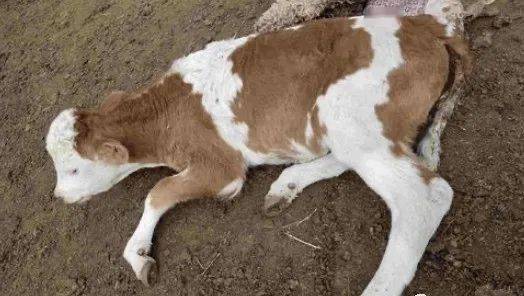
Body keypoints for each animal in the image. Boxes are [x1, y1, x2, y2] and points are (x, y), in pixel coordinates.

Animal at [45, 2, 470, 296]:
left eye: (74, 169)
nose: (59, 195)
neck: (167, 111)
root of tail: (423, 24)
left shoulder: (222, 168)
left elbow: (158, 191)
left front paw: (138, 254)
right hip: (349, 124)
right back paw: (287, 185)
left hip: (348, 113)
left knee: (425, 196)